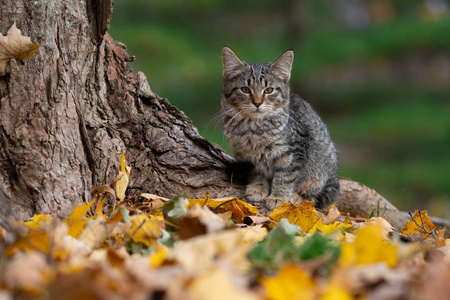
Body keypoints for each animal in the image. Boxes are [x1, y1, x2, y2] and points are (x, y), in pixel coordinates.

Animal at [220, 47, 340, 213]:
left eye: (268, 90)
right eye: (245, 89)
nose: (257, 103)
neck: (253, 128)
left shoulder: (293, 152)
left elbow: (285, 177)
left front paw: (279, 197)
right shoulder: (248, 156)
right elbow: (257, 172)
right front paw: (258, 188)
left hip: (321, 170)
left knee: (316, 196)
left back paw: (297, 197)